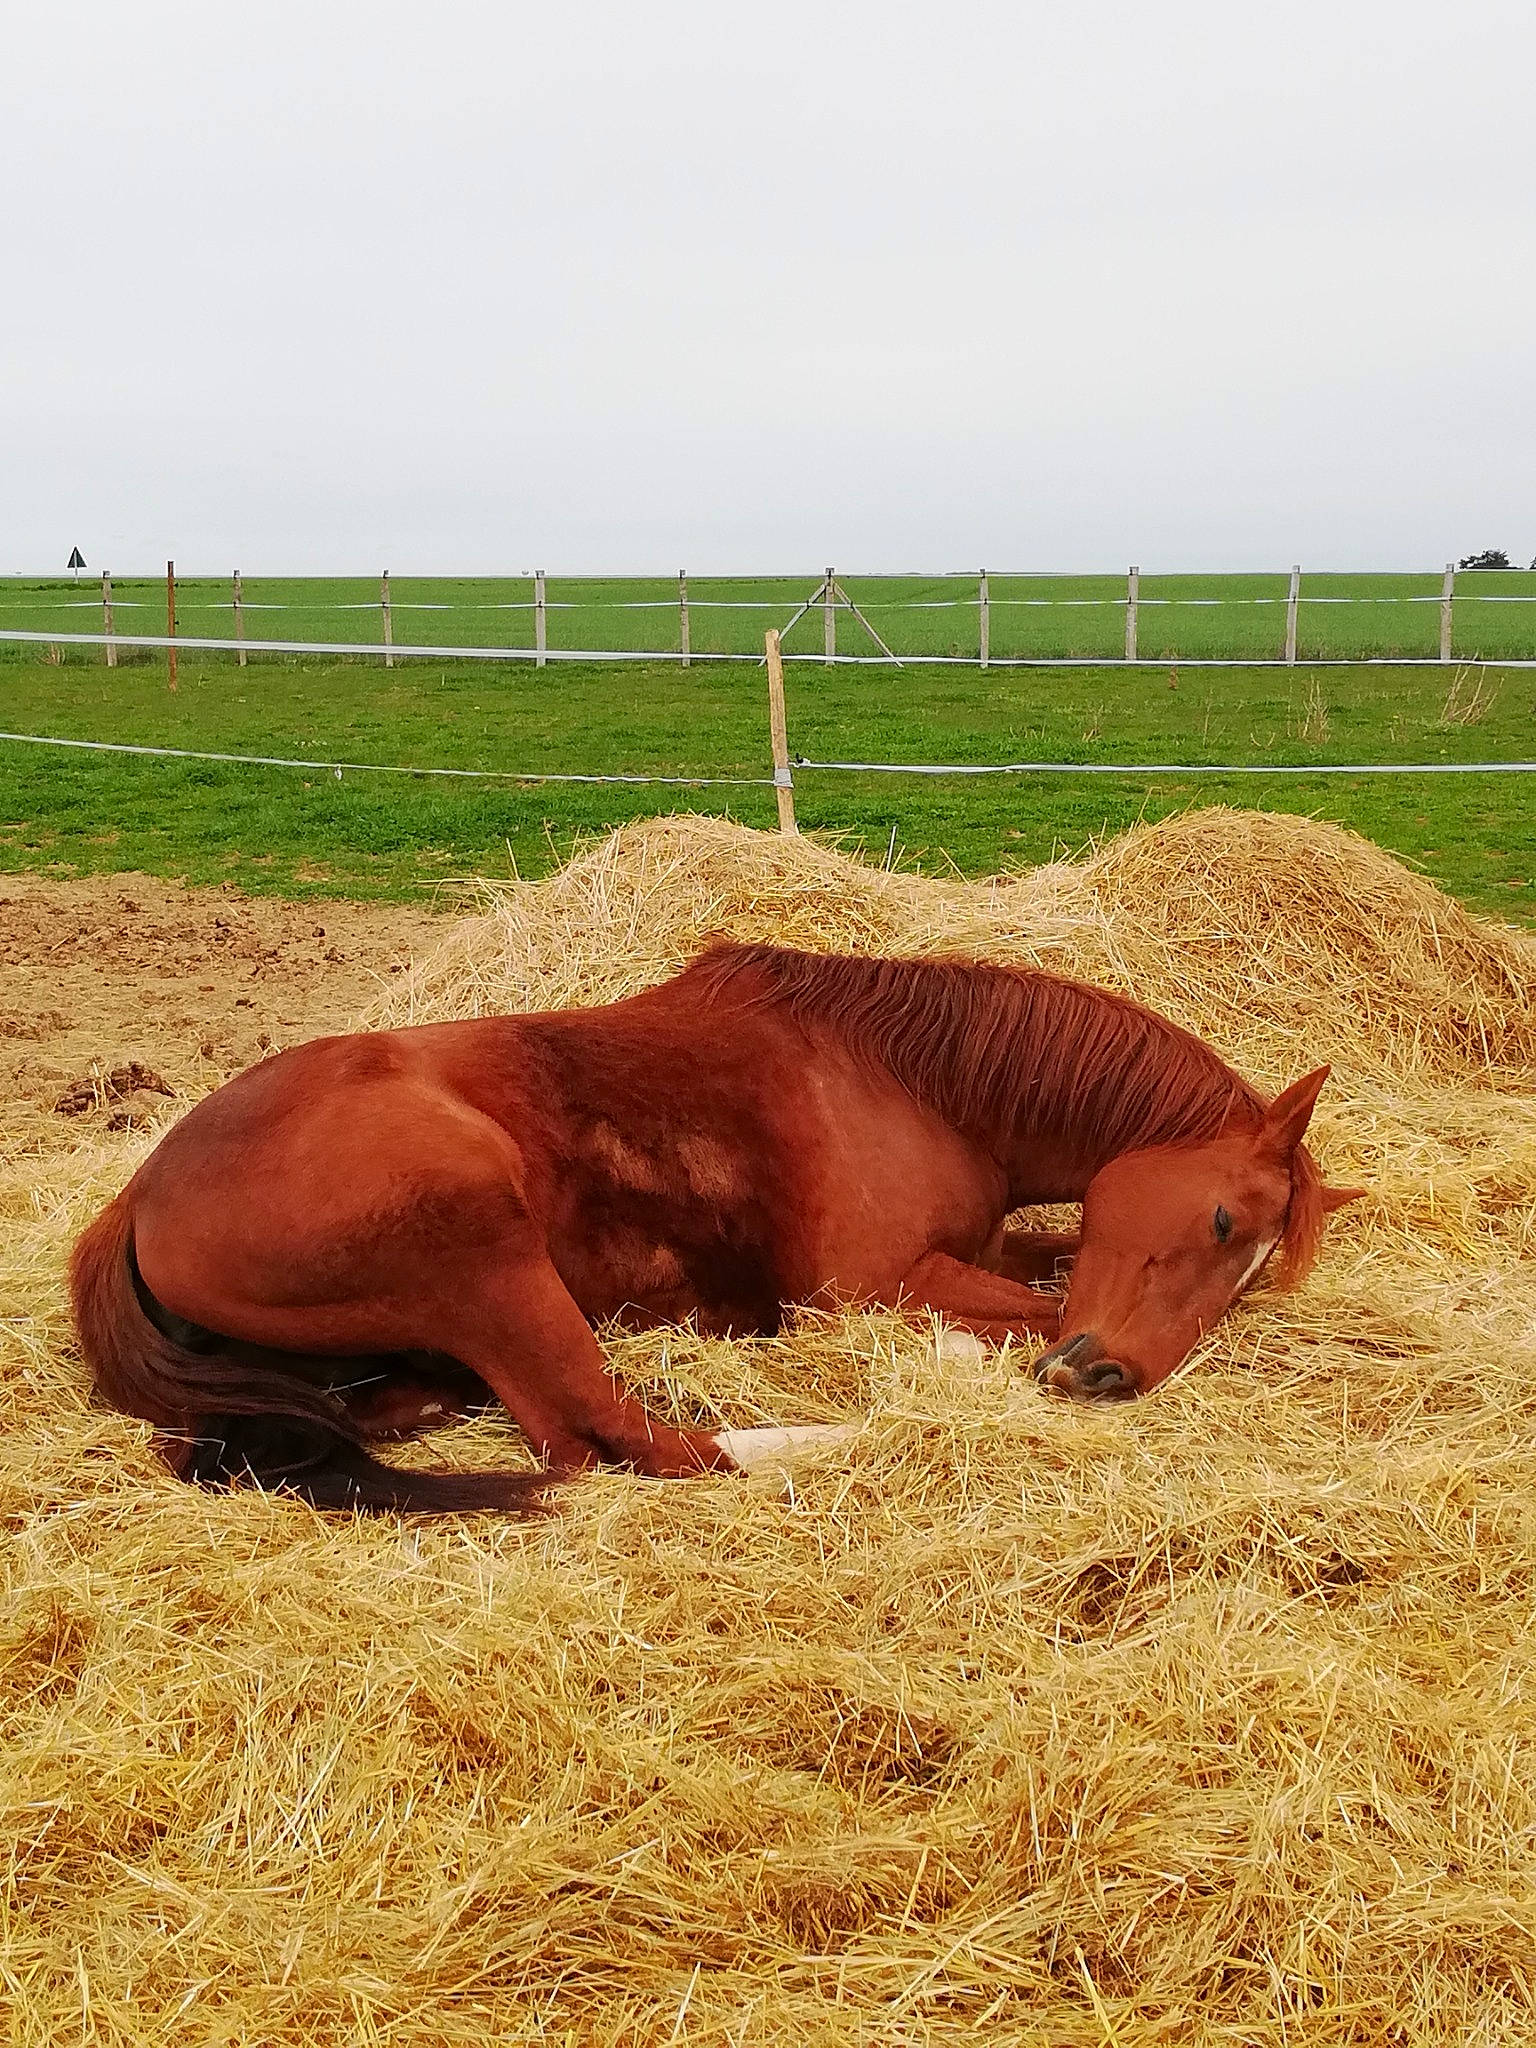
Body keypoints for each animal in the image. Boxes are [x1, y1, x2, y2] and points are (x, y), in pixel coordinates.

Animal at [70, 941, 1362, 1514]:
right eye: (1219, 1214)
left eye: (1249, 1263)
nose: (1113, 1374)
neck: (907, 1076)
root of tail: (136, 1197)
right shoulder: (873, 1285)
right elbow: (1021, 1313)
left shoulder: (992, 1247)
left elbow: (1042, 1275)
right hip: (483, 1246)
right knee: (615, 1438)